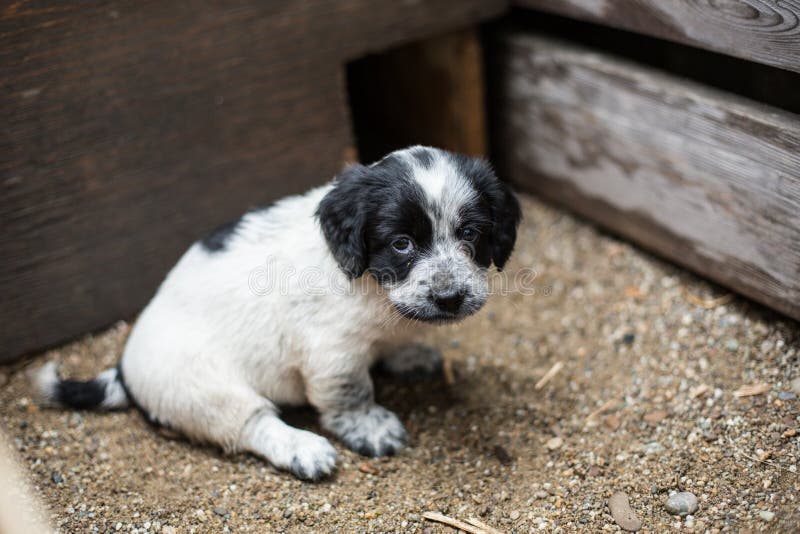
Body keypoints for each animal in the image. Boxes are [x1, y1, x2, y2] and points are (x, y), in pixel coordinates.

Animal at [36, 146, 524, 482]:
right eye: (401, 243)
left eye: (470, 233)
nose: (449, 298)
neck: (372, 288)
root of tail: (124, 366)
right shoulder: (332, 353)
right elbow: (351, 393)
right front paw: (368, 427)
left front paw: (406, 355)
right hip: (203, 389)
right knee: (252, 424)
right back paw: (301, 448)